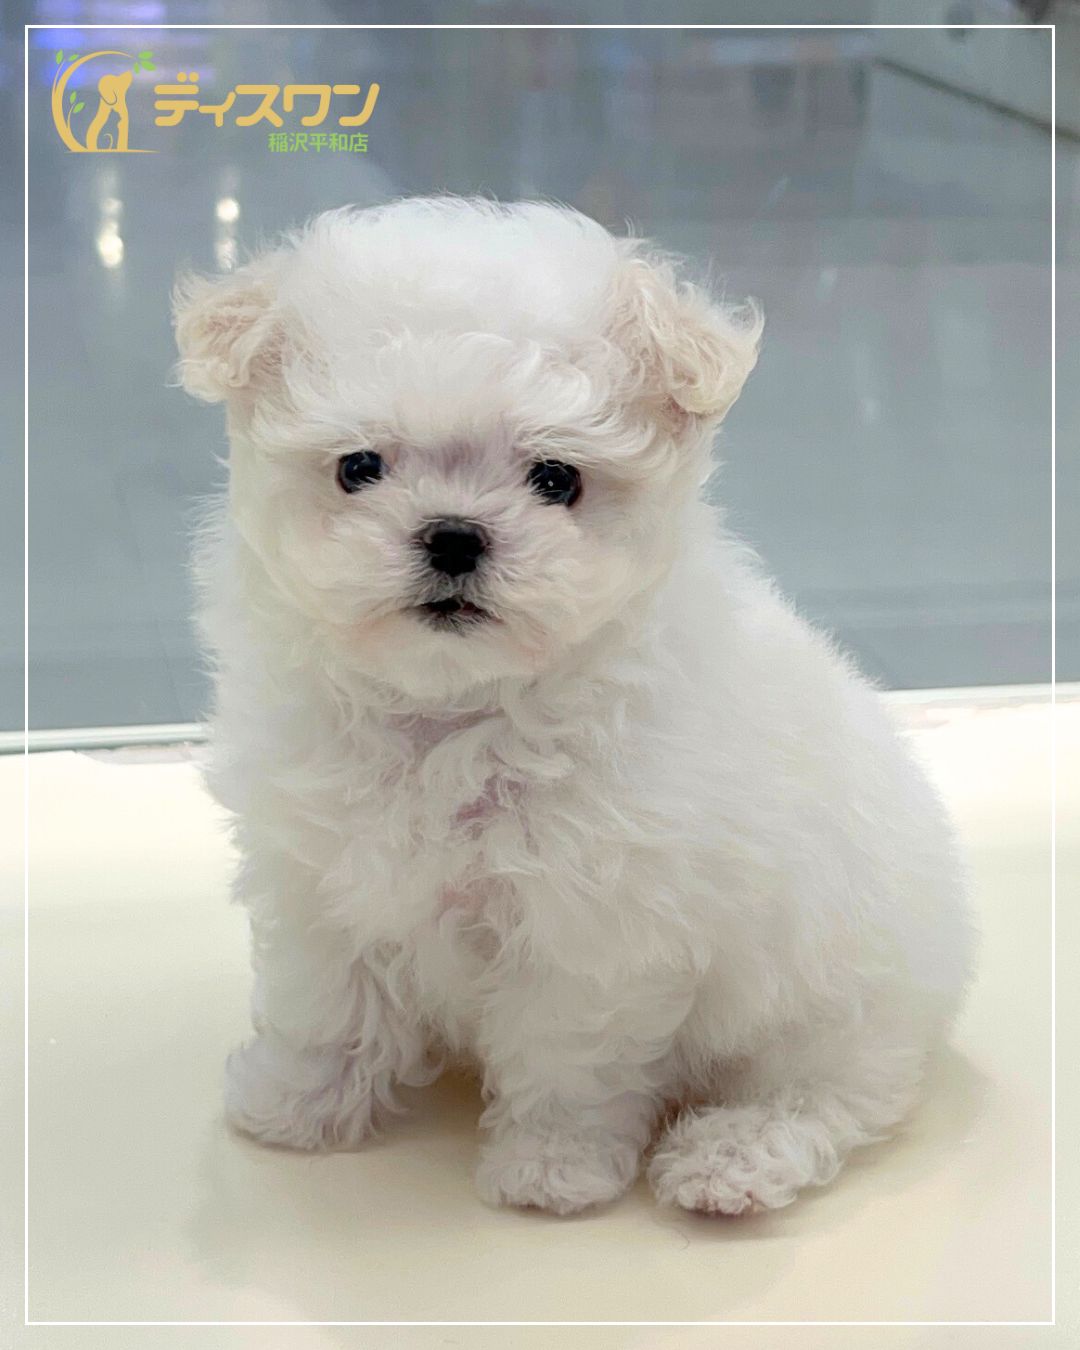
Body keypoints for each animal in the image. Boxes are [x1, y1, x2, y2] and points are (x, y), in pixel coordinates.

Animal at [174, 197, 975, 1217]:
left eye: (556, 479)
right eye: (358, 467)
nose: (453, 535)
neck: (454, 712)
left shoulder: (594, 929)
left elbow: (567, 1058)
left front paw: (551, 1169)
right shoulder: (319, 879)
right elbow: (327, 1005)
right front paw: (298, 1105)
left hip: (837, 997)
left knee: (832, 1093)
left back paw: (734, 1156)